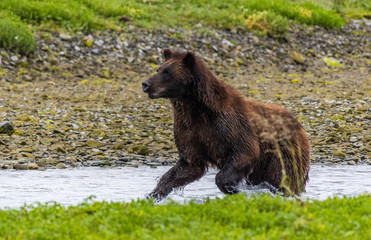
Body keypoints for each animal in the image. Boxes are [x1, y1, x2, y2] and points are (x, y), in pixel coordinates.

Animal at [142, 48, 310, 201]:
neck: (195, 108)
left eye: (167, 72)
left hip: (282, 154)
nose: (145, 84)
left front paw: (232, 189)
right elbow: (188, 164)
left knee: (284, 178)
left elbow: (245, 151)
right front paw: (153, 194)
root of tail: (299, 124)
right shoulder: (189, 129)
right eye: (158, 69)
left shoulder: (229, 124)